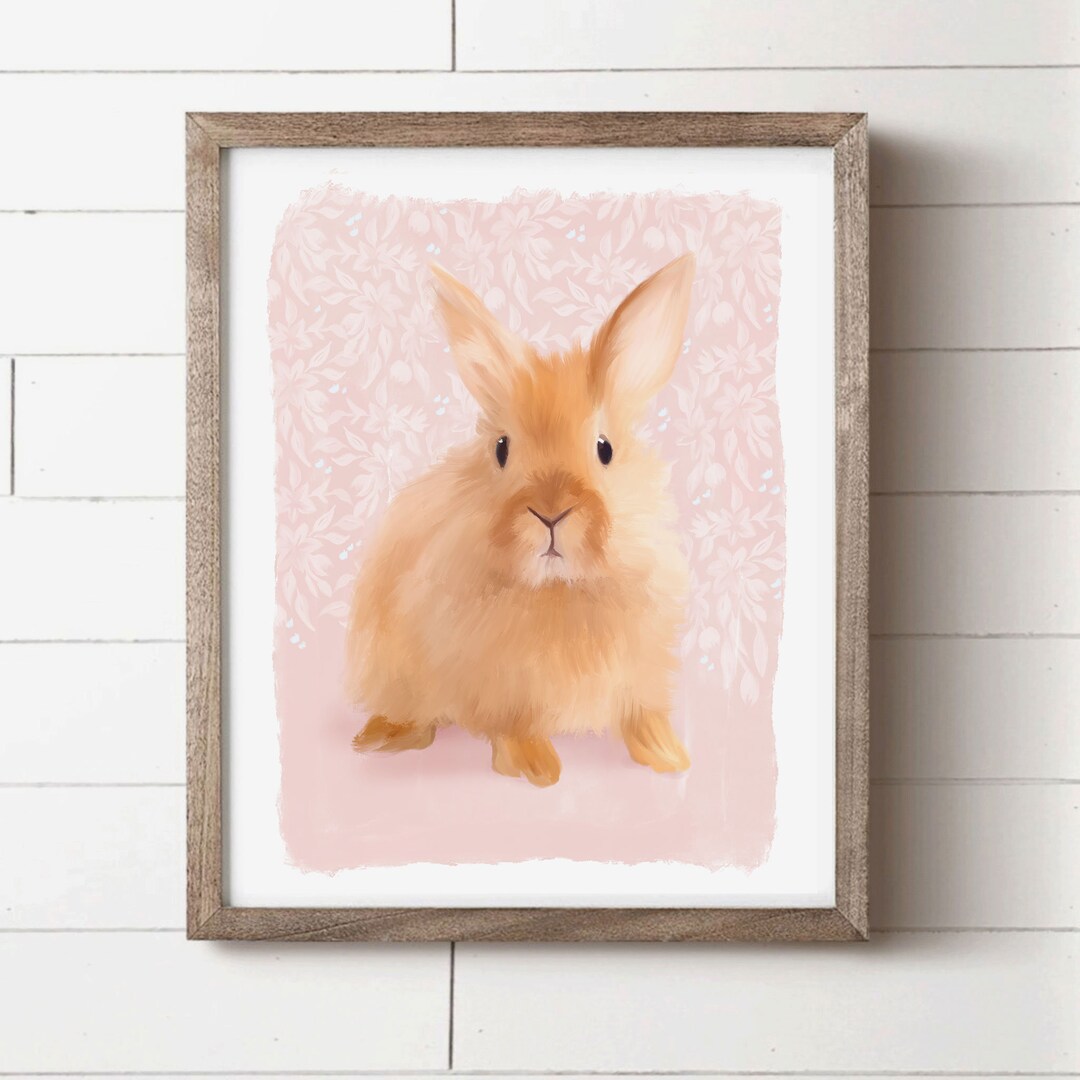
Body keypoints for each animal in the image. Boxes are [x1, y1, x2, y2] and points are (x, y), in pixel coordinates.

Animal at [346, 253, 695, 787]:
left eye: (605, 449)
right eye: (501, 448)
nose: (550, 513)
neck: (559, 589)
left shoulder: (641, 674)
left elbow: (644, 716)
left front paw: (669, 756)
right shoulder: (499, 689)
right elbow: (515, 727)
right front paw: (538, 770)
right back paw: (381, 737)